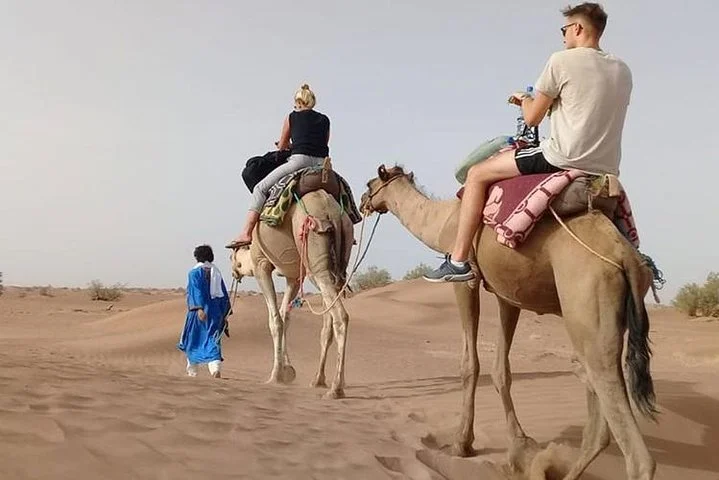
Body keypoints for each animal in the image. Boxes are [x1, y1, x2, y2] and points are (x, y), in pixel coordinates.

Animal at [229, 174, 355, 399]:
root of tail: (332, 211)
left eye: (231, 258)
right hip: (339, 252)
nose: (233, 273)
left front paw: (275, 376)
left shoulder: (261, 264)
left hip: (314, 248)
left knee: (340, 317)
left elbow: (275, 320)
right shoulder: (294, 277)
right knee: (328, 321)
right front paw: (288, 370)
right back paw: (319, 380)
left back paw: (335, 388)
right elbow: (285, 317)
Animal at [360, 165, 658, 480]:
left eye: (370, 183)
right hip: (600, 323)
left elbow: (470, 365)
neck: (445, 220)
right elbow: (502, 370)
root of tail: (627, 258)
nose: (363, 203)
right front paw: (519, 446)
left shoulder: (467, 281)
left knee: (632, 448)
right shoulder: (507, 295)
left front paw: (461, 444)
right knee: (599, 421)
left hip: (588, 302)